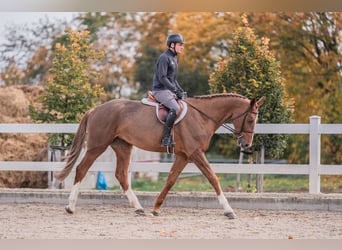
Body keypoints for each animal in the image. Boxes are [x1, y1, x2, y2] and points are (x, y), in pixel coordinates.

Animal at [55, 93, 264, 218]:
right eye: (251, 119)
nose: (246, 144)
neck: (202, 116)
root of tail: (95, 109)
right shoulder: (195, 153)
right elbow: (213, 178)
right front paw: (228, 210)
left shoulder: (183, 155)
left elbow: (170, 180)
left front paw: (156, 208)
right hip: (97, 146)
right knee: (81, 169)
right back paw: (70, 207)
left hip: (123, 147)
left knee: (121, 175)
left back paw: (138, 207)